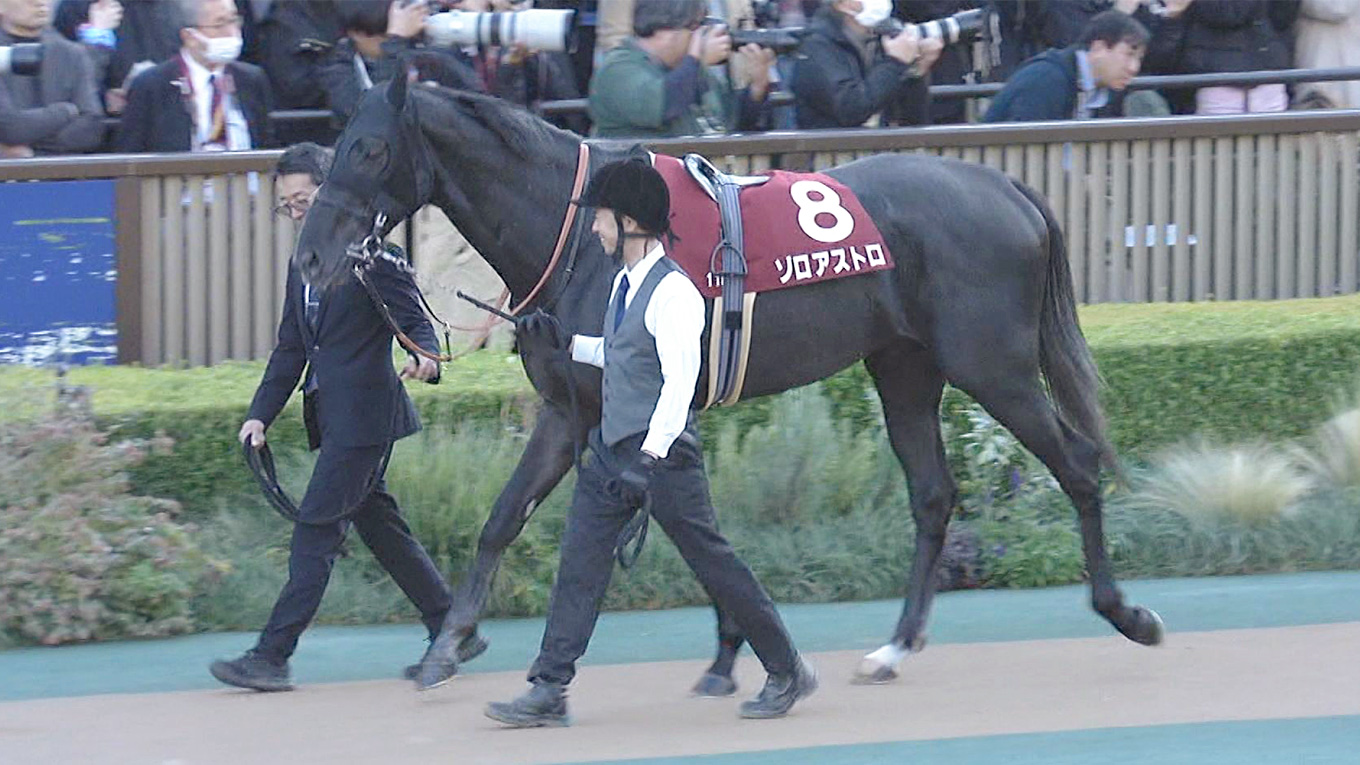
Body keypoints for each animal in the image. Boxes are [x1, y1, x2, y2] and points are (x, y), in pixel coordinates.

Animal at [294, 75, 1164, 691]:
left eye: (368, 149)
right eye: (338, 143)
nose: (309, 256)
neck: (585, 238)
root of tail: (1006, 188)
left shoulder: (630, 406)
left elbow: (671, 524)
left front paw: (733, 647)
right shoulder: (572, 410)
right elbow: (507, 518)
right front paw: (446, 645)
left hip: (994, 366)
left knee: (1076, 464)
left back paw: (1126, 613)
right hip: (904, 368)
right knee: (933, 496)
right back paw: (893, 647)